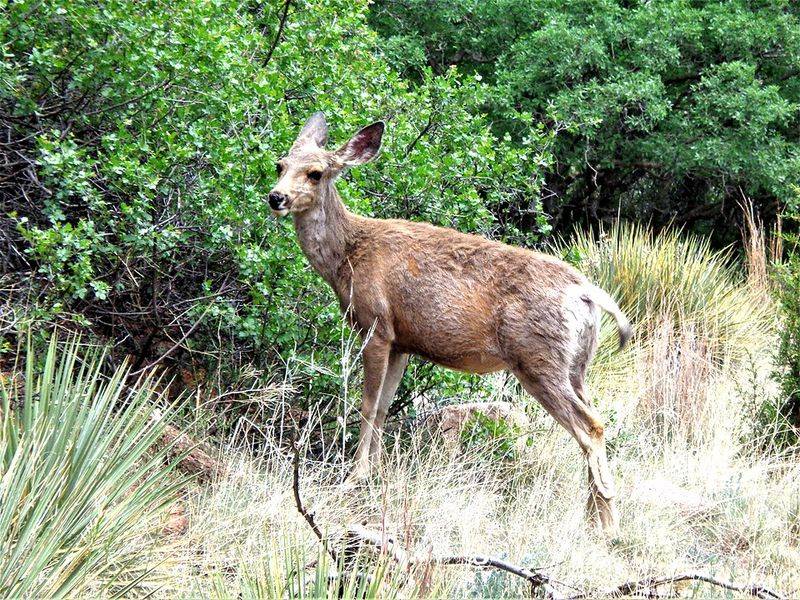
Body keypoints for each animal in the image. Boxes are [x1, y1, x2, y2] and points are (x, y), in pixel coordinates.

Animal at [268, 112, 632, 532]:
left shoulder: (376, 326)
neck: (348, 256)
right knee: (592, 420)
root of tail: (587, 293)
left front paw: (354, 477)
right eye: (280, 165)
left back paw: (608, 522)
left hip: (538, 358)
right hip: (576, 366)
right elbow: (385, 407)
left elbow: (367, 404)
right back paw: (594, 516)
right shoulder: (402, 342)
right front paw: (376, 472)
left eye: (315, 173)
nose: (276, 197)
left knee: (592, 427)